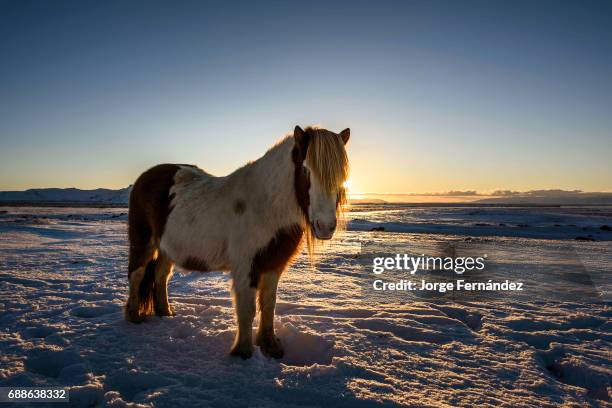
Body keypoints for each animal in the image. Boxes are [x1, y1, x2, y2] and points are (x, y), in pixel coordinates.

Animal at [124, 124, 350, 356]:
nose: (325, 226)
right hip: (143, 241)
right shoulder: (246, 266)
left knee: (161, 275)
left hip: (166, 248)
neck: (265, 205)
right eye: (306, 170)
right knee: (137, 273)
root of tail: (146, 177)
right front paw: (243, 352)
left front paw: (270, 346)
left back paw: (165, 313)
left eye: (342, 175)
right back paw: (134, 317)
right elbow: (247, 309)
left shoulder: (273, 264)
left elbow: (269, 304)